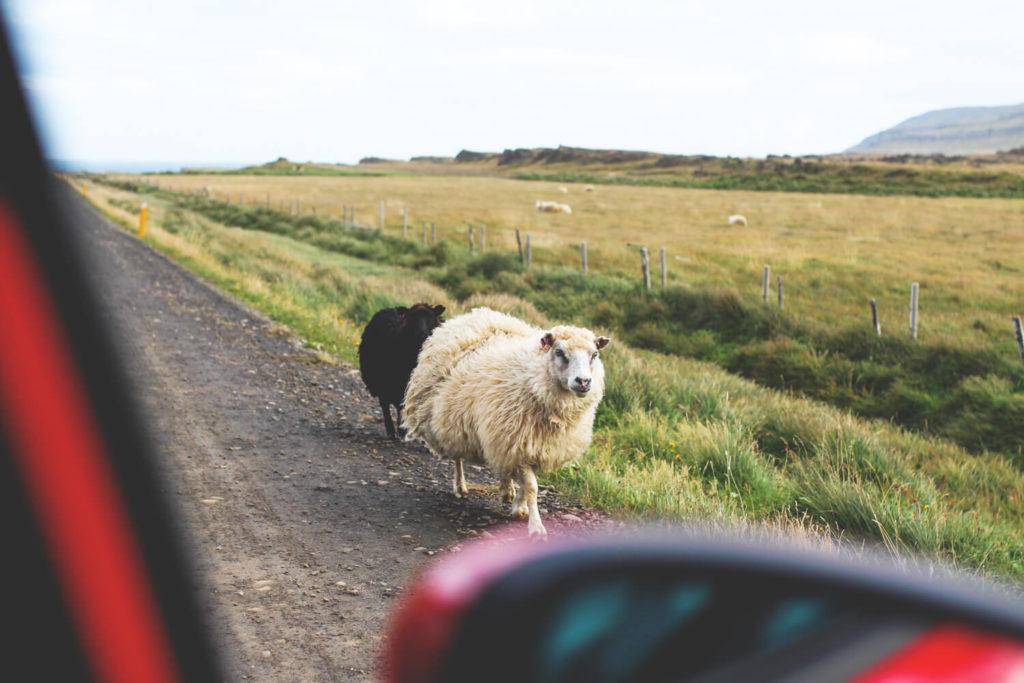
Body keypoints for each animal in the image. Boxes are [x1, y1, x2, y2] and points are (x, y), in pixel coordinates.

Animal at [358, 303, 445, 439]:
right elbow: (399, 406)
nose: (421, 334)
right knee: (385, 405)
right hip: (380, 381)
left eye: (430, 318)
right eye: (412, 318)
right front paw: (400, 430)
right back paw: (392, 431)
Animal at [403, 307, 610, 536]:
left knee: (502, 465)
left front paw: (519, 506)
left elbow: (527, 483)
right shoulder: (519, 441)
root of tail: (476, 315)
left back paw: (506, 489)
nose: (583, 382)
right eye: (559, 352)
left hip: (498, 435)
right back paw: (461, 486)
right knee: (458, 458)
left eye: (594, 355)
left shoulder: (533, 445)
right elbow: (532, 487)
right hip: (454, 421)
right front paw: (536, 527)